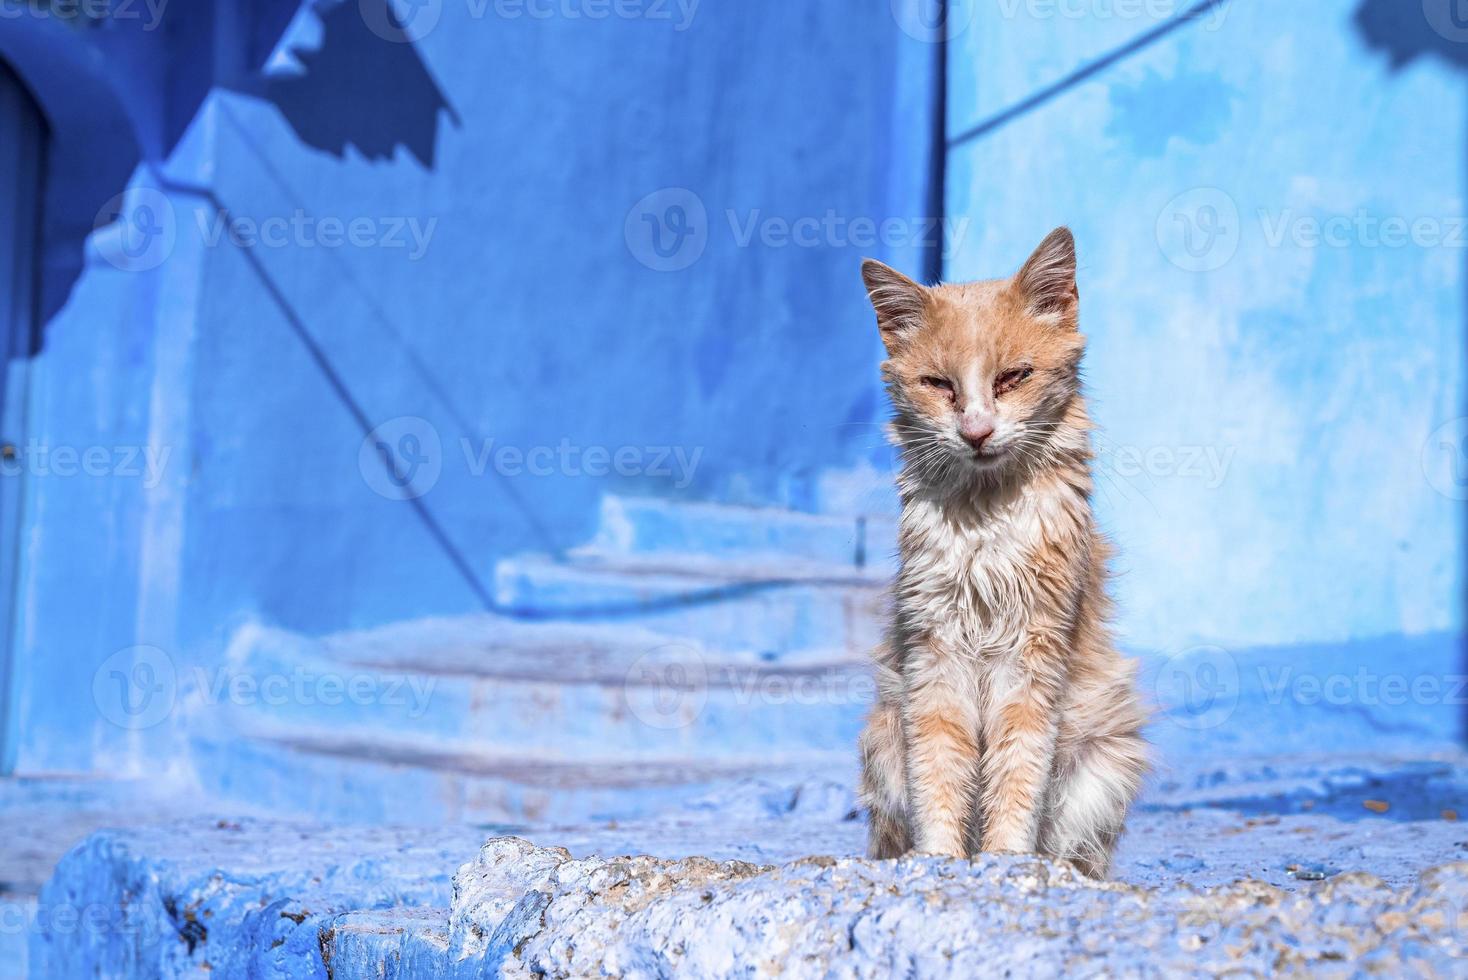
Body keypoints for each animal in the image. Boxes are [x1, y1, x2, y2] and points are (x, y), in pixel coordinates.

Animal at [857, 230, 1145, 880]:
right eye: (939, 385)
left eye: (1013, 377)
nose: (977, 431)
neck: (985, 520)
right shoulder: (934, 653)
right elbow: (939, 770)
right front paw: (939, 859)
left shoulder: (1035, 653)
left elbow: (1018, 771)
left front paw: (1003, 859)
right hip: (882, 738)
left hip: (1105, 758)